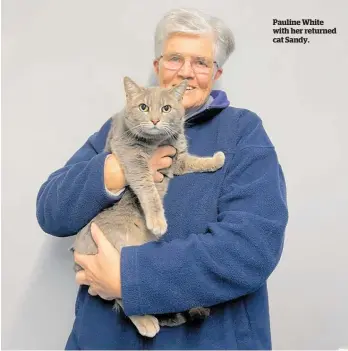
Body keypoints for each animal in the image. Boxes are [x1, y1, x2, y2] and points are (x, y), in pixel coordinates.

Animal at [72, 77, 226, 338]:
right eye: (143, 107)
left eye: (166, 108)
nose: (154, 120)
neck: (158, 141)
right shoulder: (132, 158)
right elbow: (148, 190)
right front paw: (157, 221)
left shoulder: (178, 158)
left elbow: (195, 161)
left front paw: (216, 160)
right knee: (123, 296)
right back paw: (147, 323)